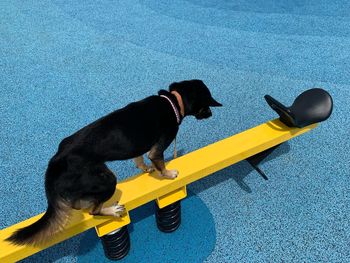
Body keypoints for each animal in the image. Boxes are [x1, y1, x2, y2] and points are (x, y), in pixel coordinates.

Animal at [6, 79, 221, 246]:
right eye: (208, 106)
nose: (211, 114)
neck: (172, 102)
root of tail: (56, 160)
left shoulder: (139, 148)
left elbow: (139, 160)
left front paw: (145, 168)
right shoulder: (157, 149)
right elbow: (159, 163)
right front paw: (168, 174)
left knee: (78, 204)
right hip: (107, 179)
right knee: (94, 211)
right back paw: (112, 209)